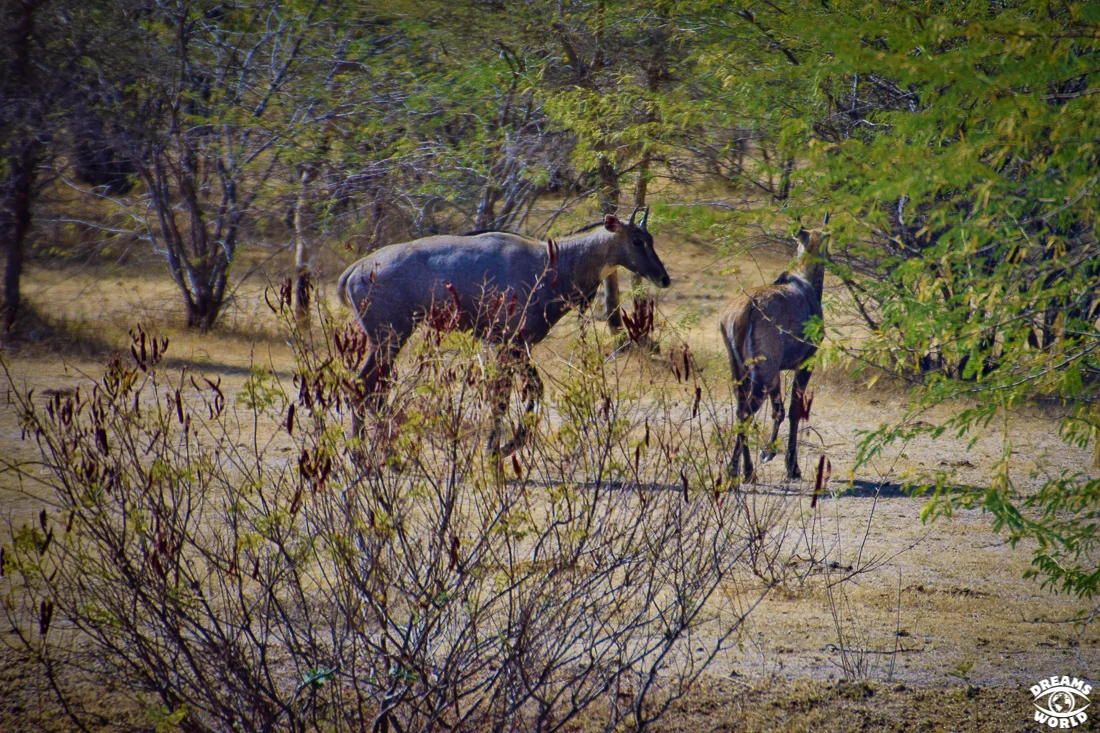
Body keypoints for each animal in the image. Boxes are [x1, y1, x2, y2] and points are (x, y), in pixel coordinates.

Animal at [337, 207, 671, 456]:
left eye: (652, 239)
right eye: (637, 240)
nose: (664, 278)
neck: (553, 264)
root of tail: (355, 269)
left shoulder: (518, 346)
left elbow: (526, 390)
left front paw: (504, 444)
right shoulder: (509, 343)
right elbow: (509, 393)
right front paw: (501, 446)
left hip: (389, 339)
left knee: (373, 387)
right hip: (389, 336)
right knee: (365, 385)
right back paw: (367, 454)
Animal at [720, 214, 830, 483]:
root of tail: (744, 310)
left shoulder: (778, 370)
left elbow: (777, 409)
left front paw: (768, 452)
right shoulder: (806, 362)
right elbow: (793, 410)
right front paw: (791, 466)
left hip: (740, 370)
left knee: (740, 411)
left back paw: (747, 471)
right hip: (762, 371)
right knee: (747, 413)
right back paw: (733, 473)